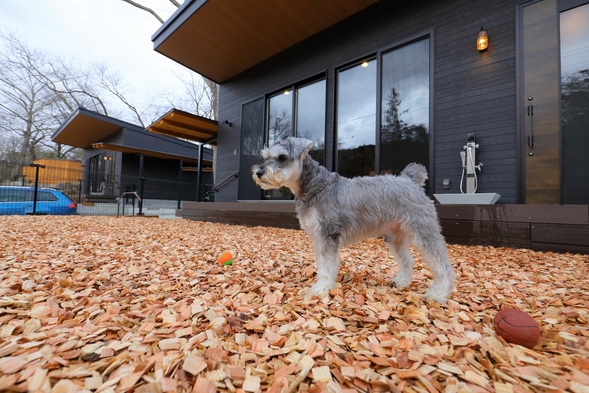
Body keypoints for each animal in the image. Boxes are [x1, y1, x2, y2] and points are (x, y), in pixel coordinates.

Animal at [252, 136, 454, 304]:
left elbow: (326, 266)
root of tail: (411, 180)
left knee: (443, 266)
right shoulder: (319, 238)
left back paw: (438, 294)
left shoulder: (328, 236)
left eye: (282, 157)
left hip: (424, 231)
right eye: (265, 156)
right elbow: (322, 264)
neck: (315, 185)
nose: (259, 172)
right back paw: (401, 282)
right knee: (407, 260)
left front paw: (320, 288)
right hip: (395, 237)